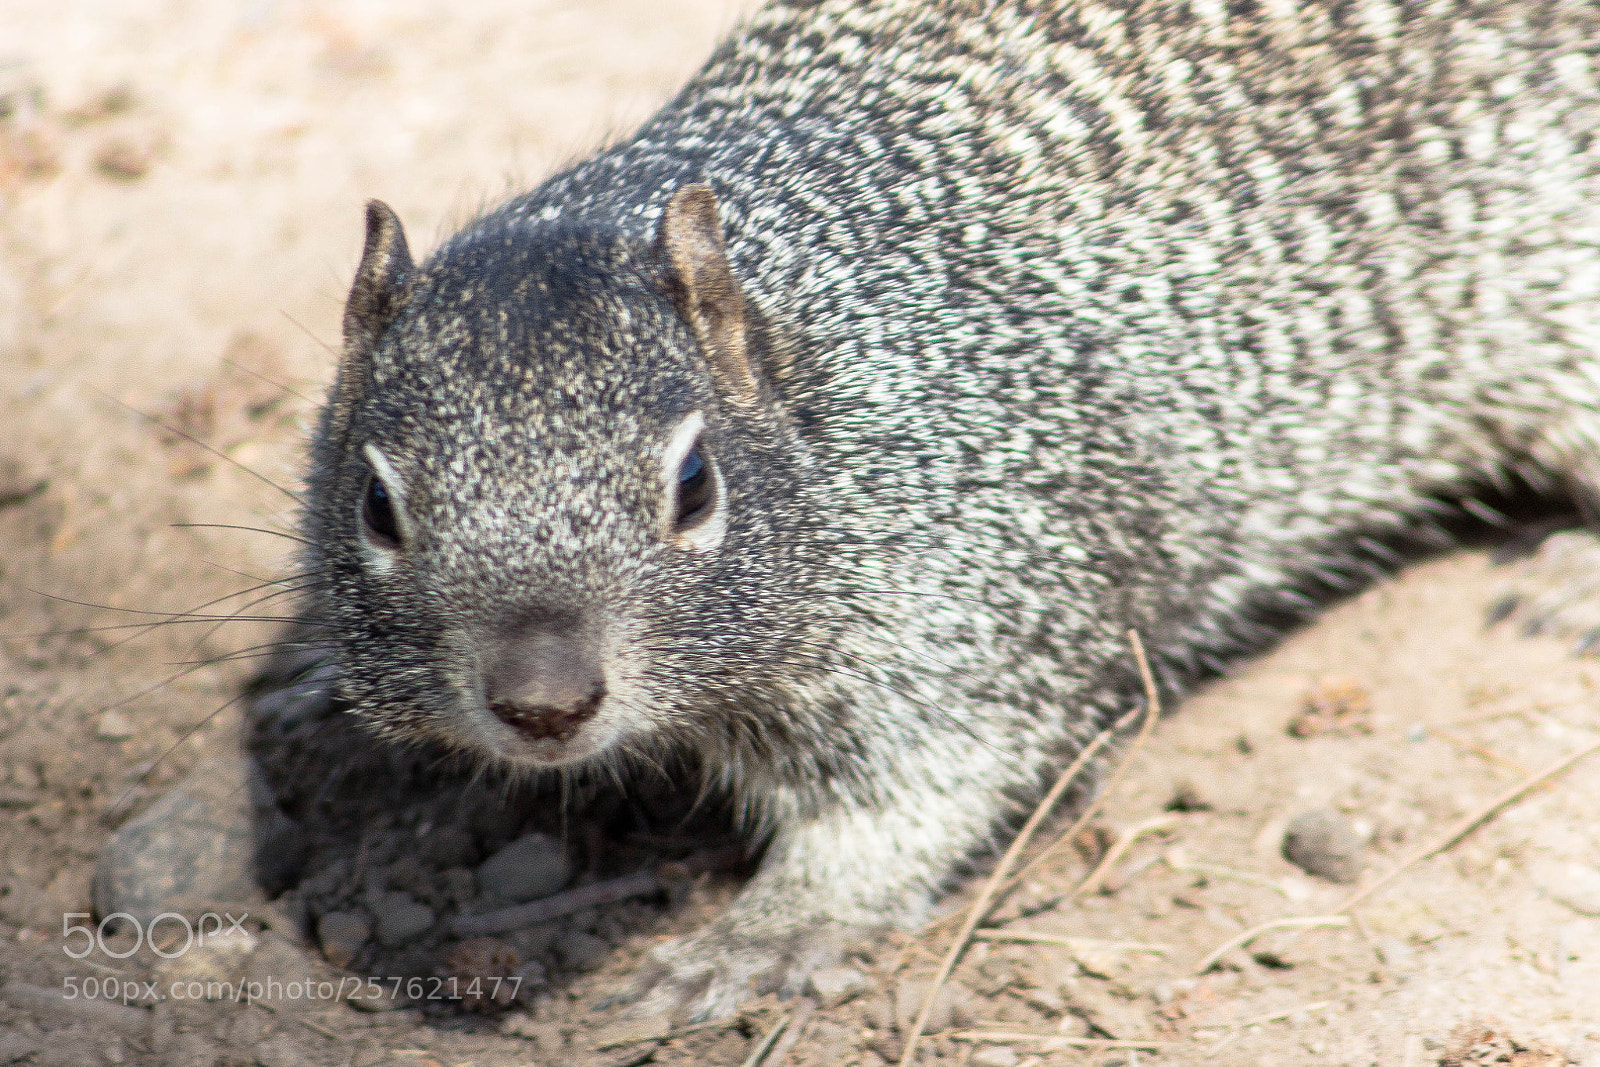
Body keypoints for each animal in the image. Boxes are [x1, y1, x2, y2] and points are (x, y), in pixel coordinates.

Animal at [300, 0, 1600, 1022]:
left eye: (695, 483)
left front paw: (762, 931)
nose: (543, 700)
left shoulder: (979, 596)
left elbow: (917, 794)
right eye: (375, 503)